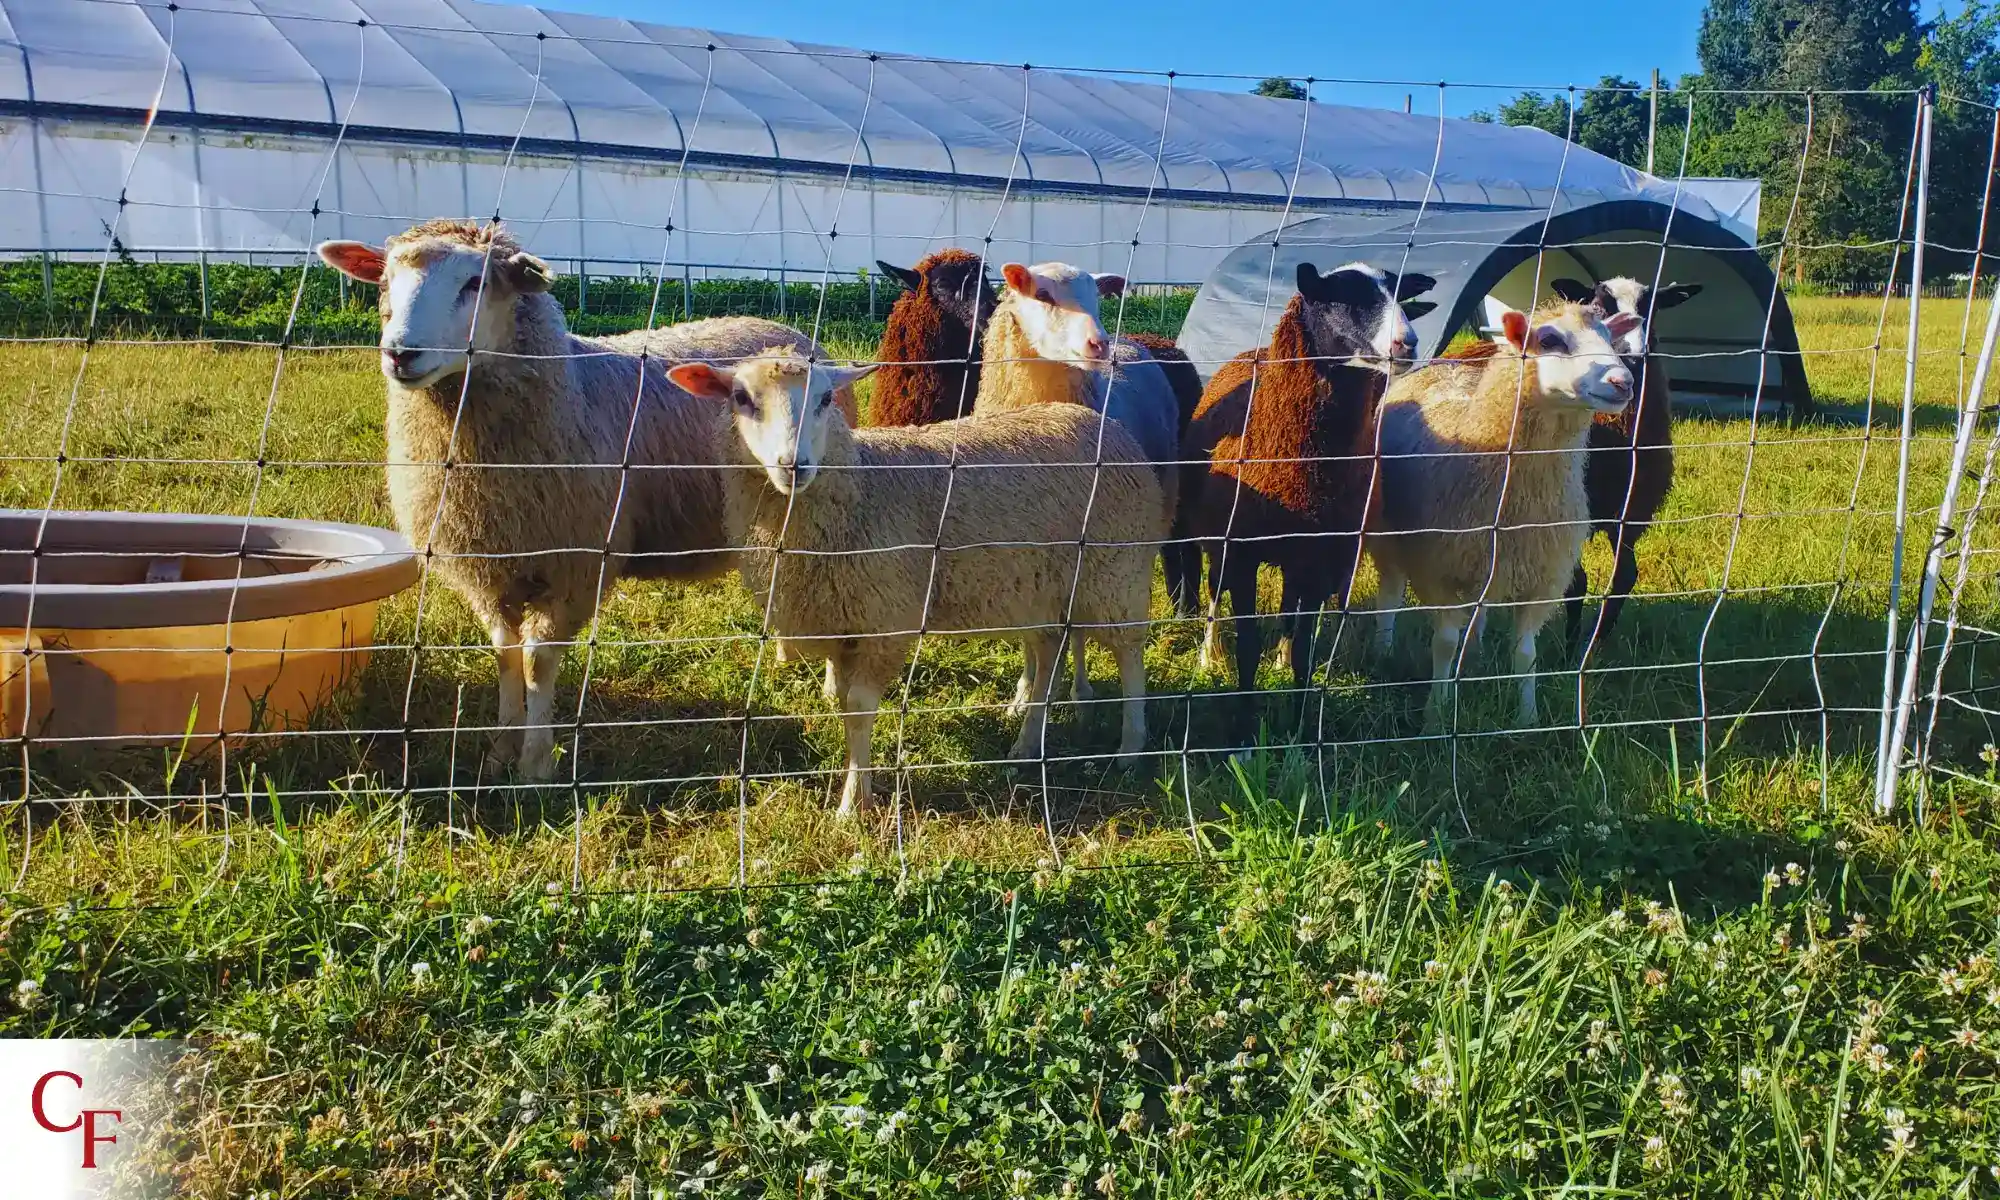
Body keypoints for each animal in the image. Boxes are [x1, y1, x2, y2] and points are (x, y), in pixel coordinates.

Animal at [315, 219, 849, 781]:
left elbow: (537, 661)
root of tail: (789, 333)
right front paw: (500, 750)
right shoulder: (488, 571)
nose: (400, 353)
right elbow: (505, 654)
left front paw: (534, 763)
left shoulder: (575, 566)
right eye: (384, 282)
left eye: (475, 283)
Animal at [666, 348, 1165, 817]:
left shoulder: (885, 621)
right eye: (741, 398)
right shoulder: (842, 624)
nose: (794, 466)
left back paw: (1130, 745)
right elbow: (843, 704)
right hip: (1042, 585)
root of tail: (1106, 426)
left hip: (1114, 569)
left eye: (826, 399)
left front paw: (854, 803)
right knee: (1048, 654)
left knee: (1129, 654)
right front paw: (856, 787)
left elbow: (859, 708)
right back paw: (1027, 740)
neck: (862, 491)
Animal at [974, 261, 1183, 708]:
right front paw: (1024, 691)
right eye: (1042, 294)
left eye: (1097, 297)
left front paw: (1068, 688)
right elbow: (1030, 633)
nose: (1098, 344)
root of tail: (1130, 342)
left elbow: (1072, 628)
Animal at [1180, 261, 1436, 745]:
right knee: (1214, 593)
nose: (1406, 343)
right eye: (1339, 298)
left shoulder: (1320, 557)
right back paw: (1208, 655)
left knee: (1288, 610)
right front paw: (1245, 730)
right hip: (1220, 542)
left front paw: (1297, 723)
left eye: (1400, 295)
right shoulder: (1242, 554)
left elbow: (1304, 645)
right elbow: (1247, 644)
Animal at [1370, 301, 1640, 728]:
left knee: (1477, 611)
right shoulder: (1437, 570)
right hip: (1388, 537)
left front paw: (1528, 718)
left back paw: (1474, 654)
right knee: (1390, 596)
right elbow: (1443, 643)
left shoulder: (1543, 578)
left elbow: (1525, 654)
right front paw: (1436, 713)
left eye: (1610, 338)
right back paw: (1383, 650)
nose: (1623, 381)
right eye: (1550, 340)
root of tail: (1441, 364)